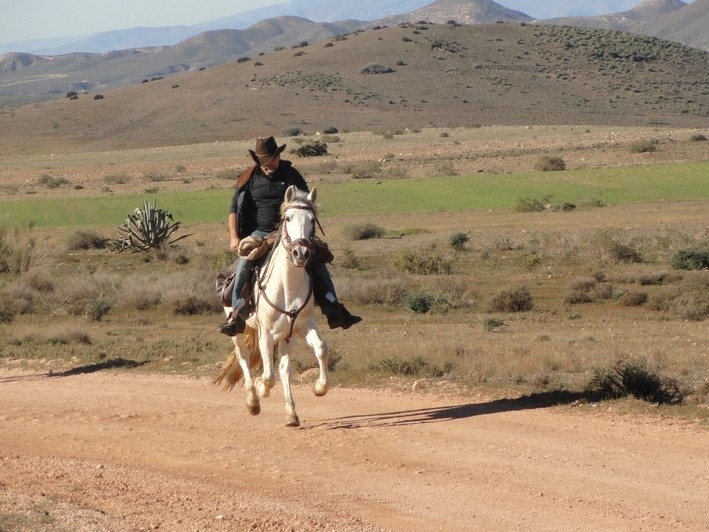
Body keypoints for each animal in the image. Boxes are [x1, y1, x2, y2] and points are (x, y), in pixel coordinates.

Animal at [213, 185, 330, 426]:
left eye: (312, 220)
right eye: (288, 217)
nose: (301, 253)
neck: (288, 286)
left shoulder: (303, 326)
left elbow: (321, 349)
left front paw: (319, 387)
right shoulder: (265, 332)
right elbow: (268, 376)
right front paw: (260, 389)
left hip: (287, 335)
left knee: (284, 369)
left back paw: (291, 413)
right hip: (238, 329)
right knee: (244, 357)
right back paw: (252, 400)